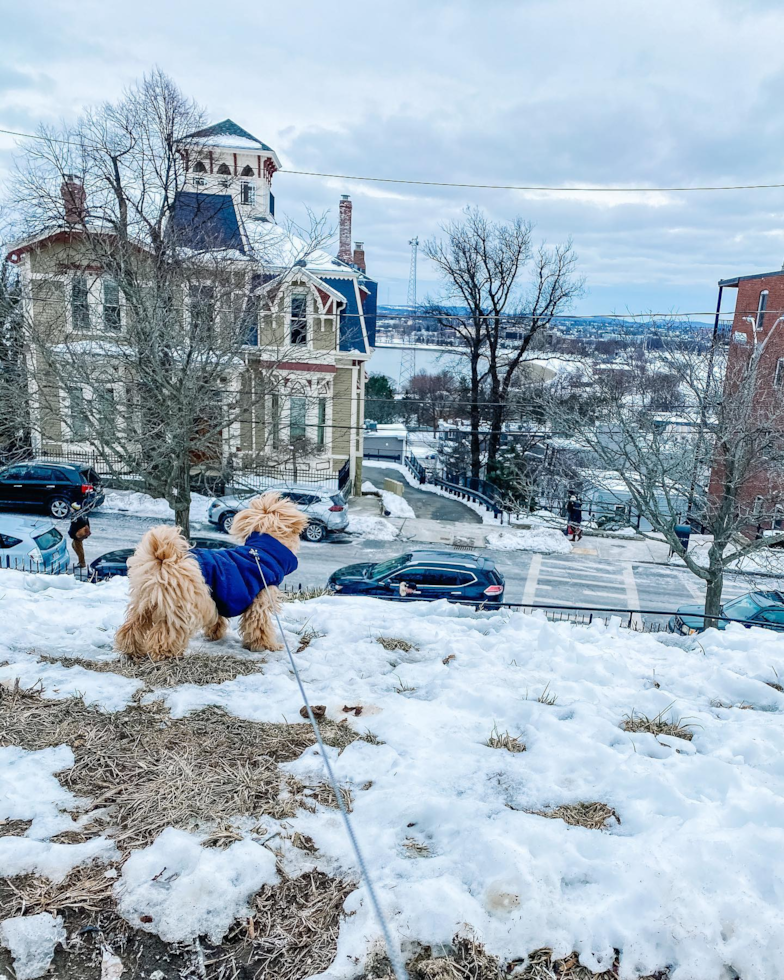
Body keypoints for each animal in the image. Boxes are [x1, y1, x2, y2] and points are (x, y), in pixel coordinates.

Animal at [115, 494, 308, 664]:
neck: (261, 552)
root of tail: (163, 558)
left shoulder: (218, 596)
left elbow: (217, 618)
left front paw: (214, 635)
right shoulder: (260, 599)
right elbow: (260, 626)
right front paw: (266, 645)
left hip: (145, 602)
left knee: (131, 627)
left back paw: (131, 650)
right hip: (181, 606)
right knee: (166, 633)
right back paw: (165, 653)